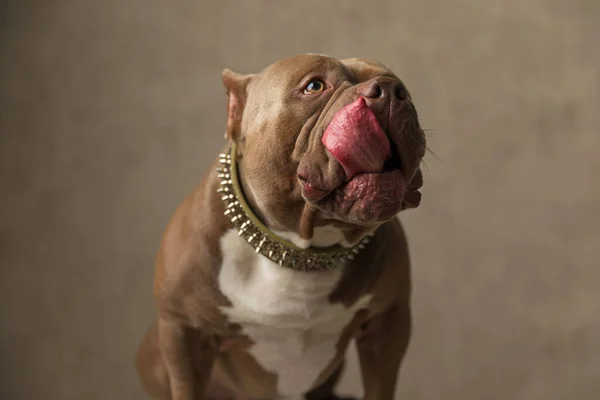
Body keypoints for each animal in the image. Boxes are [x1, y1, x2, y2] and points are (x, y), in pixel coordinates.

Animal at [136, 54, 426, 400]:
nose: (391, 90)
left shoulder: (388, 323)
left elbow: (379, 386)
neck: (299, 251)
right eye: (314, 86)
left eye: (400, 85)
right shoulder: (183, 333)